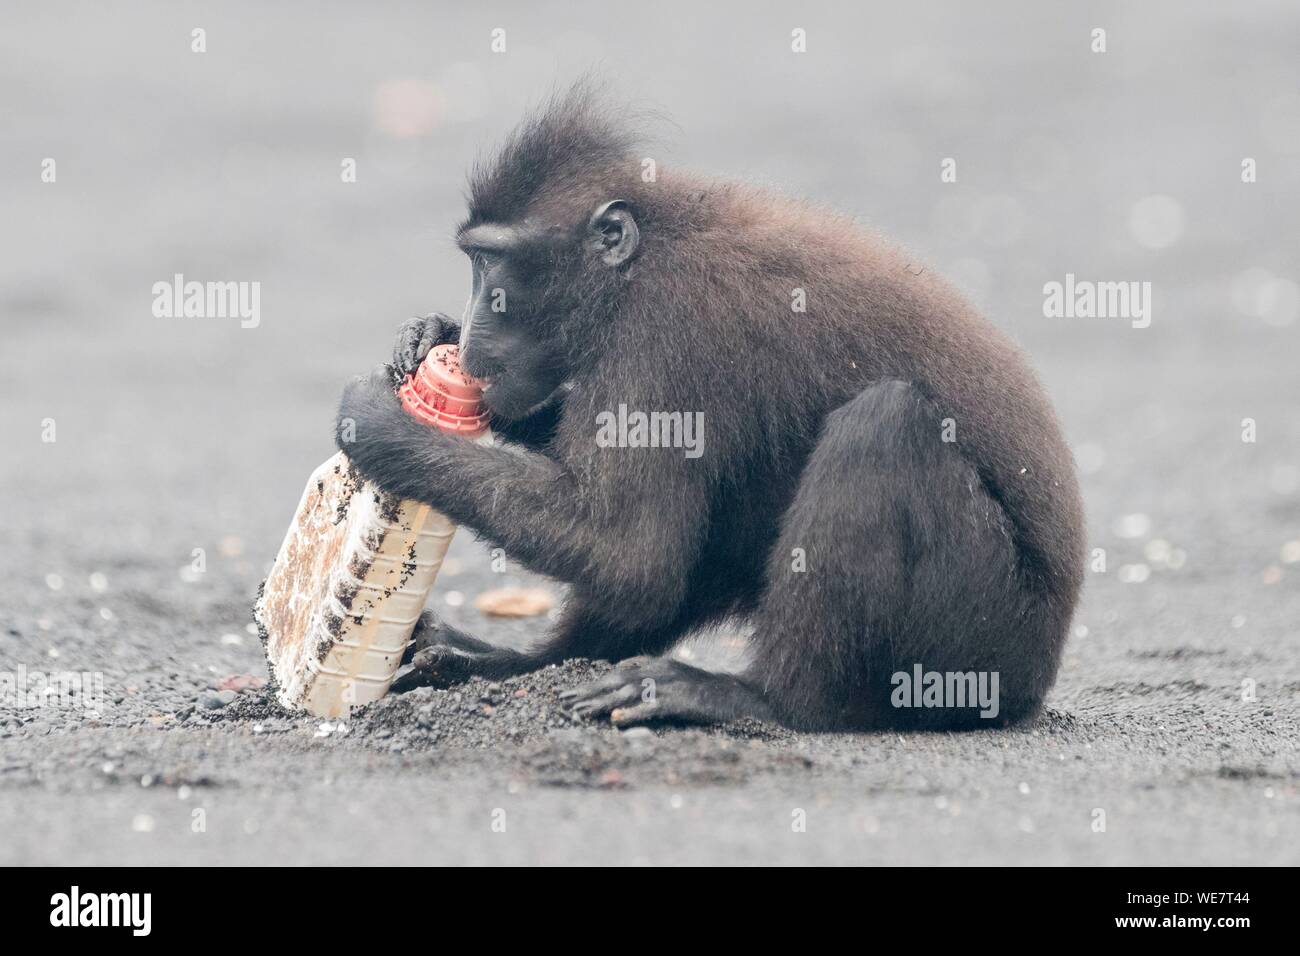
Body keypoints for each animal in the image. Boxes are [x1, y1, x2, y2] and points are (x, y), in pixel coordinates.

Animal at [335, 83, 1085, 731]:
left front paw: (383, 431)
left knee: (884, 428)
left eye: (492, 265)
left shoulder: (667, 323)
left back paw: (766, 702)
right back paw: (523, 663)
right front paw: (428, 340)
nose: (471, 332)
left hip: (988, 636)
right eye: (472, 262)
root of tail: (1039, 672)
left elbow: (628, 550)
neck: (644, 255)